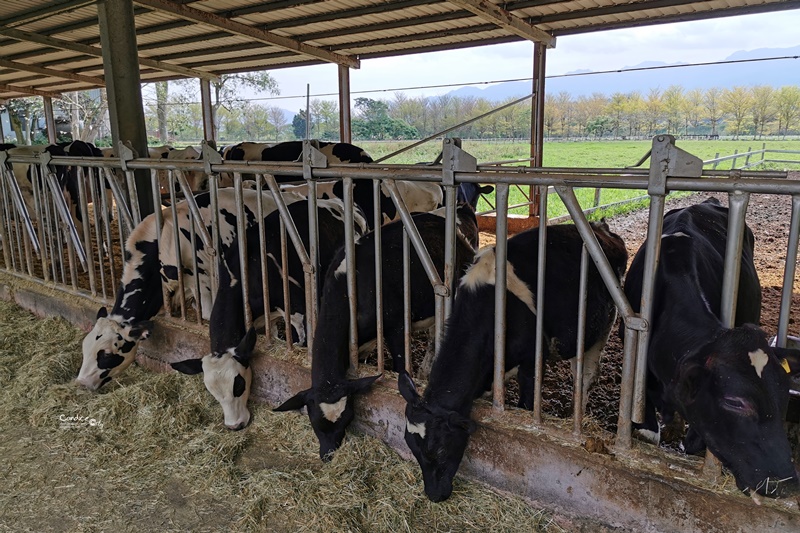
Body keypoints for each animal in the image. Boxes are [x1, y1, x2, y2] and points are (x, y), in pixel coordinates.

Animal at [404, 218, 628, 500]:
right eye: (412, 448)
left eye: (441, 450)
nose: (434, 495)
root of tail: (601, 229)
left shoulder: (532, 360)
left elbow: (527, 405)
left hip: (603, 328)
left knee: (586, 376)